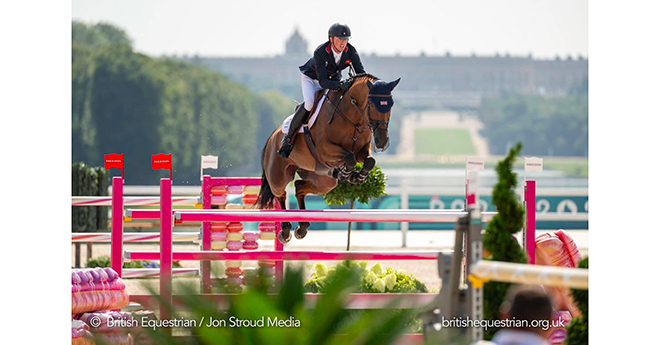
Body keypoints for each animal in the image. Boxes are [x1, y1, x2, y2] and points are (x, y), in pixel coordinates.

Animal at [256, 73, 402, 243]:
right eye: (372, 105)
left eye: (391, 104)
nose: (382, 142)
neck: (353, 116)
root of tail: (273, 136)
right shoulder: (324, 149)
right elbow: (349, 157)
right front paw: (347, 173)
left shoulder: (363, 150)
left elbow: (369, 161)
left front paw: (357, 176)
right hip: (278, 176)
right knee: (281, 194)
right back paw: (285, 231)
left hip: (323, 181)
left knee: (299, 187)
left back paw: (302, 227)